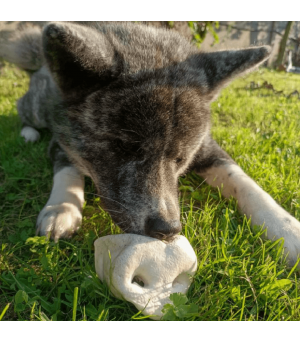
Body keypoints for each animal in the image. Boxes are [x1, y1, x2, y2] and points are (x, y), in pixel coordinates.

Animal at [2, 22, 300, 266]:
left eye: (180, 159)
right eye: (123, 149)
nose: (167, 229)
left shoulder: (208, 149)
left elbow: (246, 183)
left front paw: (288, 229)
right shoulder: (62, 140)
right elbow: (67, 169)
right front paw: (62, 208)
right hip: (38, 108)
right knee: (23, 109)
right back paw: (28, 133)